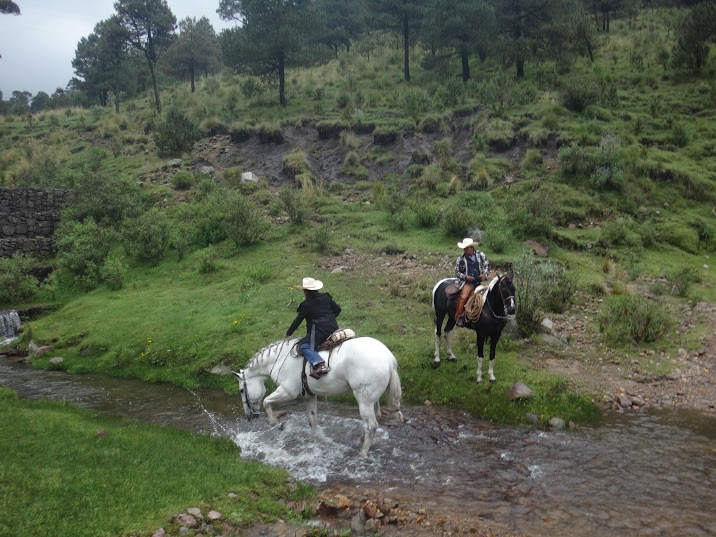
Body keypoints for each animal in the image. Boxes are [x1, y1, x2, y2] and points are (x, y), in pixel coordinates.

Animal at [235, 338, 402, 454]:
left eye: (241, 390)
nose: (248, 416)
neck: (281, 359)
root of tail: (388, 359)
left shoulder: (288, 391)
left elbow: (266, 402)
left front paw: (275, 423)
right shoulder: (309, 397)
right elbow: (312, 421)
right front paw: (317, 442)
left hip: (364, 401)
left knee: (371, 425)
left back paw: (362, 454)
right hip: (372, 400)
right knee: (375, 418)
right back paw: (361, 440)